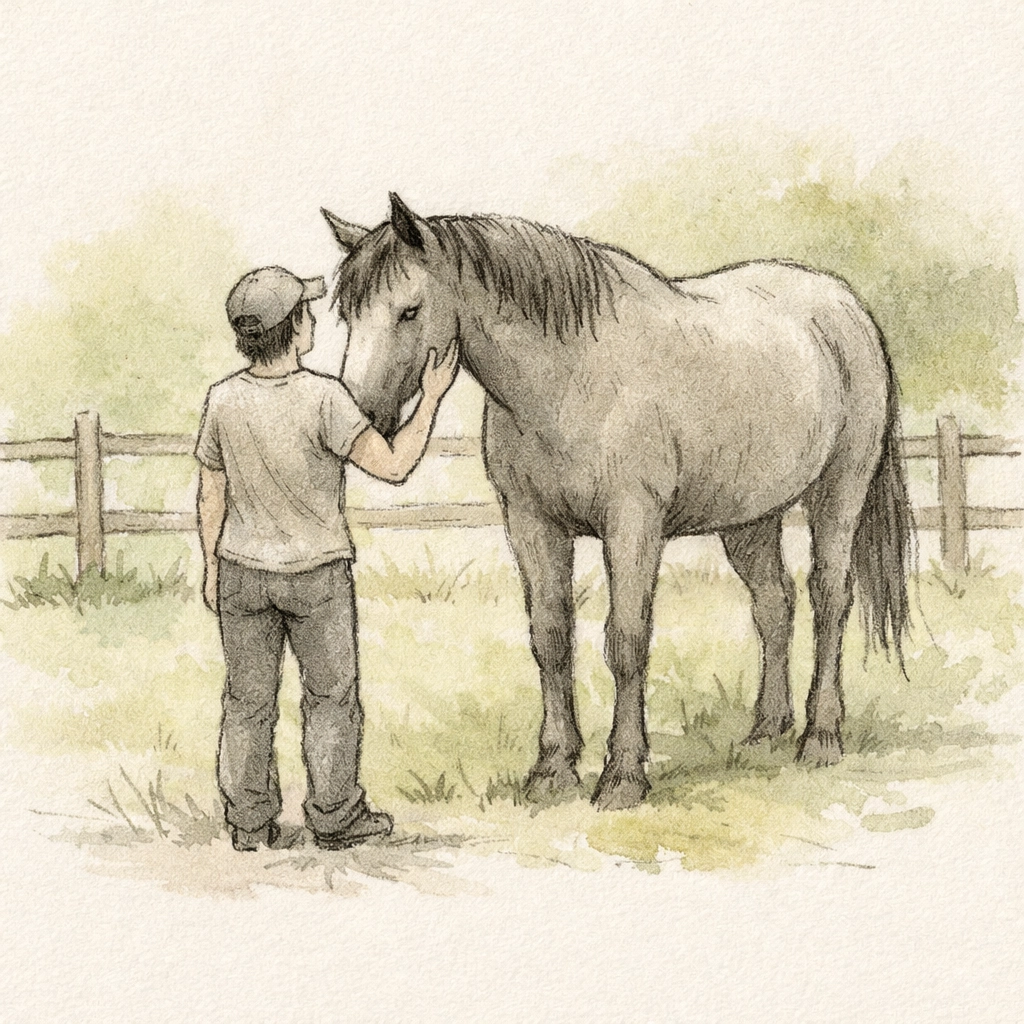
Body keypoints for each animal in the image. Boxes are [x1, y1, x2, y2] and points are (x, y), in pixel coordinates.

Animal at [321, 193, 912, 811]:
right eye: (348, 315)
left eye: (410, 311)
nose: (359, 417)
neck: (569, 379)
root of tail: (844, 304)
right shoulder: (531, 523)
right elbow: (551, 638)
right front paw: (552, 769)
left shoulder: (632, 526)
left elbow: (626, 640)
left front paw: (623, 775)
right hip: (749, 518)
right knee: (774, 605)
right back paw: (765, 732)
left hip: (839, 492)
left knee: (829, 599)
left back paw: (820, 737)